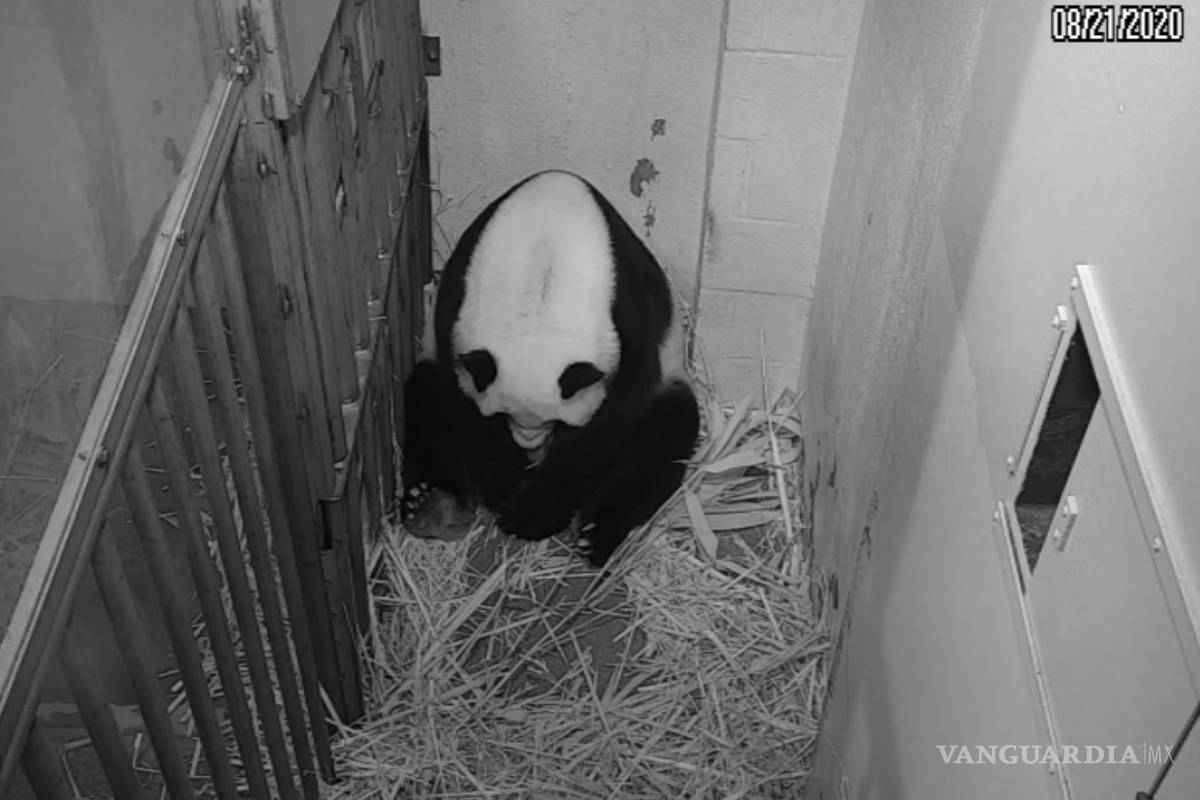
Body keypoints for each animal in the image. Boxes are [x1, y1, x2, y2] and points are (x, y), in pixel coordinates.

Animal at [400, 169, 700, 566]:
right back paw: (432, 505)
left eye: (556, 421)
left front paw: (532, 512)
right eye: (503, 415)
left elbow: (613, 419)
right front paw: (508, 485)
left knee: (664, 436)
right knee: (425, 401)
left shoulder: (628, 315)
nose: (530, 442)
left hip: (672, 377)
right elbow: (463, 408)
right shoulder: (455, 308)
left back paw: (596, 534)